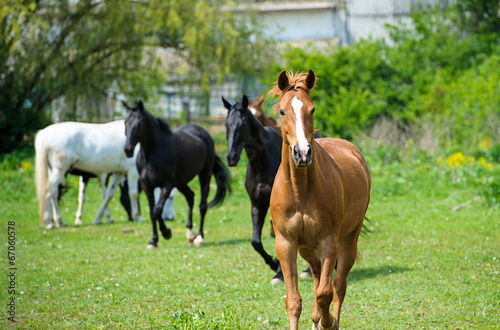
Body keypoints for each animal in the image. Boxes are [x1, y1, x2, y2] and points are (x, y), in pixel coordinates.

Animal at [35, 119, 176, 229]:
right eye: (170, 198)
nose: (171, 218)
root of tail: (45, 134)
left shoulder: (118, 173)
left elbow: (109, 194)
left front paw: (99, 218)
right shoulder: (132, 171)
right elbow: (133, 194)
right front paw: (138, 217)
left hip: (53, 170)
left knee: (53, 193)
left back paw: (56, 221)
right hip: (60, 170)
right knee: (50, 191)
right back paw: (54, 221)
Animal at [122, 100, 231, 248]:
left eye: (139, 123)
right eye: (125, 122)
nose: (128, 149)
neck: (152, 155)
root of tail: (204, 133)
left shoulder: (167, 185)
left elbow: (157, 210)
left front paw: (166, 233)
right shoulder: (147, 186)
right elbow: (152, 212)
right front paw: (153, 241)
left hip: (204, 176)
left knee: (202, 206)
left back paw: (199, 237)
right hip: (180, 182)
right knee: (190, 196)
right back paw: (190, 233)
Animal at [270, 70, 372, 330]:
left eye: (312, 109)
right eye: (282, 111)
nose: (303, 153)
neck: (299, 190)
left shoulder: (329, 242)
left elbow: (326, 293)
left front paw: (329, 322)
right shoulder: (286, 243)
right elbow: (294, 301)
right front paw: (316, 319)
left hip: (348, 240)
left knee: (338, 285)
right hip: (306, 247)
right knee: (316, 274)